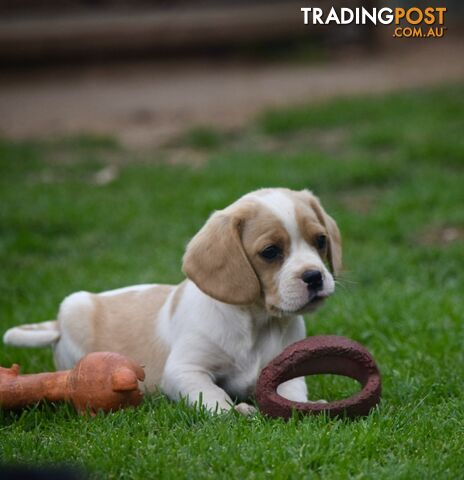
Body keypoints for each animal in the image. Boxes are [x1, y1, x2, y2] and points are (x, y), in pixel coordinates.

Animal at [2, 189, 340, 414]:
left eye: (320, 240)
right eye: (270, 252)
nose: (314, 277)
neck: (258, 322)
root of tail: (56, 324)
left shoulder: (287, 365)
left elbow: (292, 388)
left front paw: (308, 405)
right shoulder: (184, 371)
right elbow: (212, 395)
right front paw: (235, 411)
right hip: (75, 308)